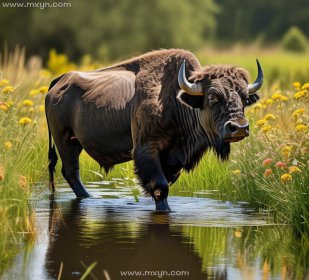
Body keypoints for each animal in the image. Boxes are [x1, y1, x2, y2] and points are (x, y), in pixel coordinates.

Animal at [45, 48, 262, 210]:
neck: (176, 100)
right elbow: (160, 188)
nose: (239, 127)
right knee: (71, 171)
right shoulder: (146, 150)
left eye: (244, 98)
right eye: (212, 97)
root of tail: (59, 82)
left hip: (74, 142)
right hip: (64, 140)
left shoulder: (173, 159)